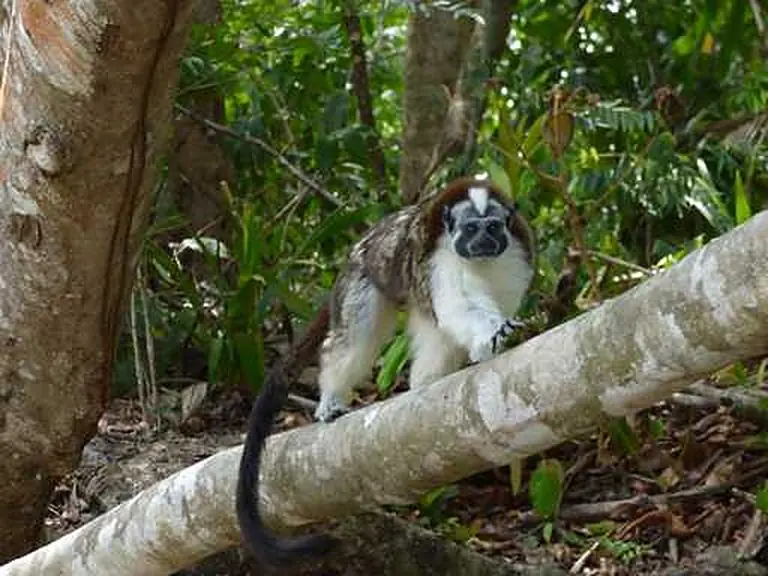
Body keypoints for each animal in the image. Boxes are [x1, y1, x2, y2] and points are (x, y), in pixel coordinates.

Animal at [236, 176, 536, 564]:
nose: (483, 242)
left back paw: (426, 383)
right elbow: (462, 306)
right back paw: (332, 395)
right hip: (364, 277)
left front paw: (489, 344)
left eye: (493, 227)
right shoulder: (440, 261)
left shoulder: (515, 255)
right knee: (352, 340)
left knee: (434, 335)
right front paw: (492, 335)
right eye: (471, 228)